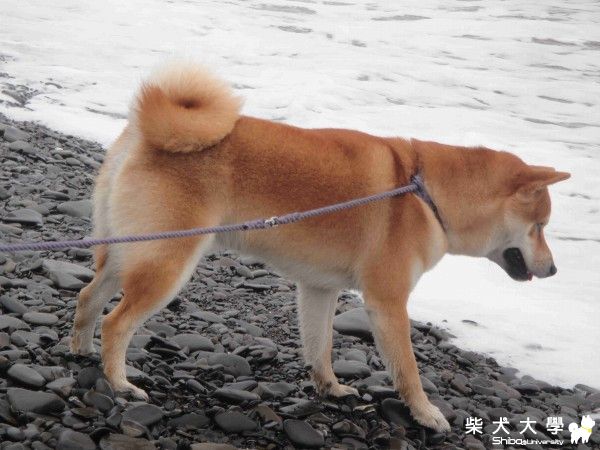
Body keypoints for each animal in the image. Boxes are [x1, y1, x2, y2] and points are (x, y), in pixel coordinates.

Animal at [70, 62, 570, 432]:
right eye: (540, 226)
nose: (554, 270)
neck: (425, 190)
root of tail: (142, 132)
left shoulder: (319, 289)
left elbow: (320, 347)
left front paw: (329, 388)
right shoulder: (388, 303)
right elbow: (407, 370)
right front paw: (426, 413)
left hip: (127, 252)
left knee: (88, 297)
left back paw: (80, 350)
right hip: (167, 263)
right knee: (116, 322)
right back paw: (120, 383)